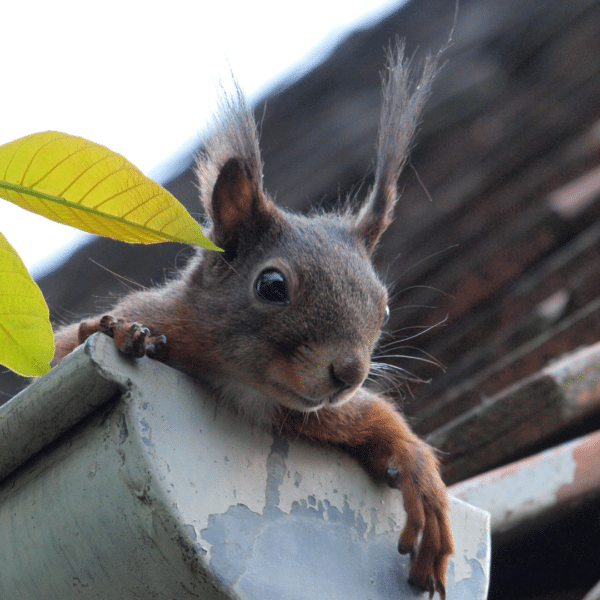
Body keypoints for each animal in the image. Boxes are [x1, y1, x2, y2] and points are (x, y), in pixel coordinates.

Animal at [52, 41, 454, 596]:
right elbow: (66, 348)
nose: (348, 374)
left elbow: (377, 420)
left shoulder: (314, 415)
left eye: (385, 305)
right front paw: (116, 331)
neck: (243, 385)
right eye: (271, 286)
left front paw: (418, 473)